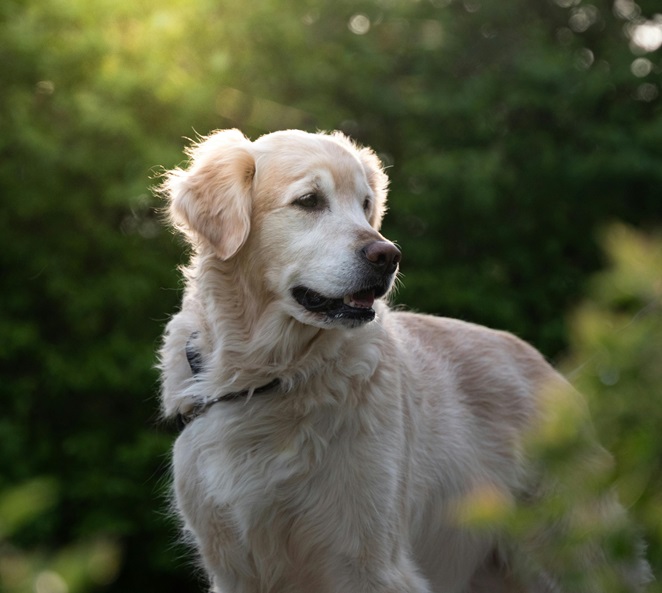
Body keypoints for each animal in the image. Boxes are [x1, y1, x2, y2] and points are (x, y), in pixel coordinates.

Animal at [158, 127, 652, 588]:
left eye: (365, 205)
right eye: (309, 201)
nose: (388, 255)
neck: (272, 377)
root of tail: (555, 377)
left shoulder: (373, 564)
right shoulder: (235, 570)